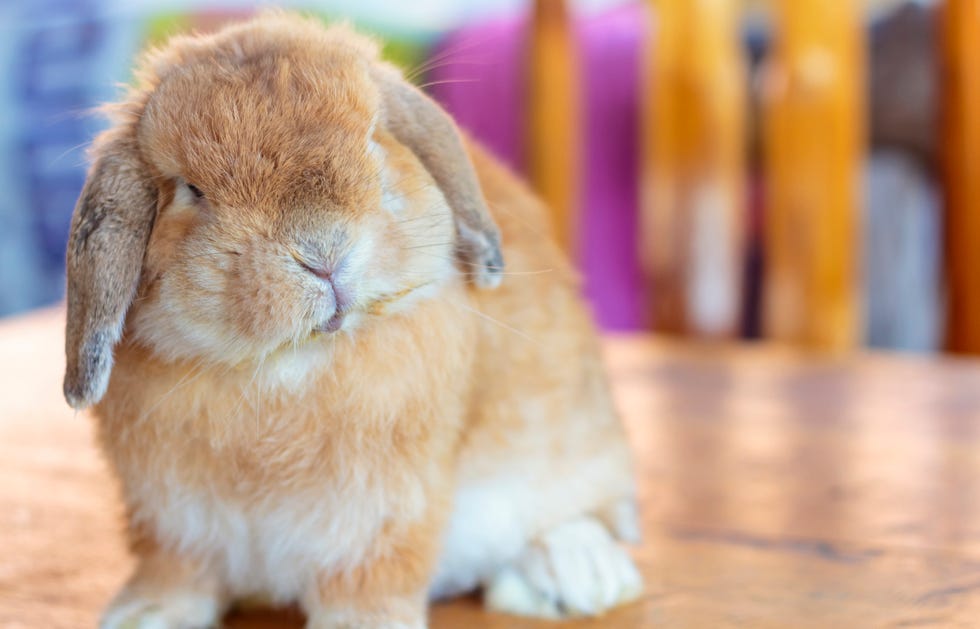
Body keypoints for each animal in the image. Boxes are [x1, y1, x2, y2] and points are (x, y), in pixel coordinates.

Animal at [63, 11, 644, 628]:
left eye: (372, 139)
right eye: (191, 190)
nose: (323, 252)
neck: (283, 362)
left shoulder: (383, 515)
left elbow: (370, 579)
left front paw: (362, 624)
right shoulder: (171, 518)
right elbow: (175, 571)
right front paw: (143, 613)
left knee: (585, 511)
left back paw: (577, 575)